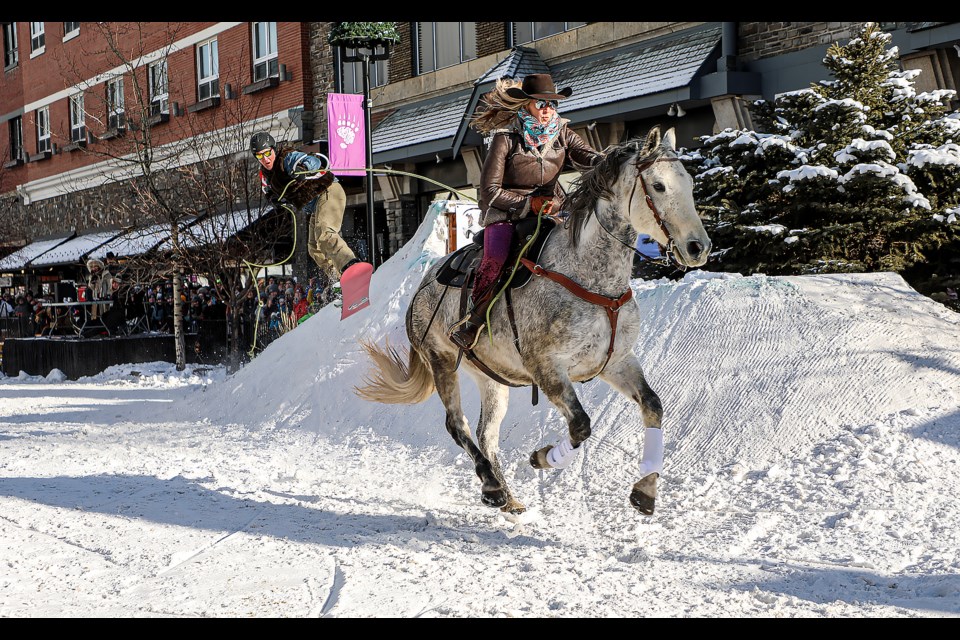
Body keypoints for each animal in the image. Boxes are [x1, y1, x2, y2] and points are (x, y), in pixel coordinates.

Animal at [356, 127, 708, 516]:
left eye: (689, 182)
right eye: (658, 186)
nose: (698, 247)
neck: (590, 278)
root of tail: (424, 283)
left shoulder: (616, 362)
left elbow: (652, 406)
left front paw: (645, 490)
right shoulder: (547, 368)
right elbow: (581, 426)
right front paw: (542, 457)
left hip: (491, 377)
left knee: (486, 433)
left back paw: (506, 495)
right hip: (441, 359)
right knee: (457, 424)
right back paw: (492, 485)